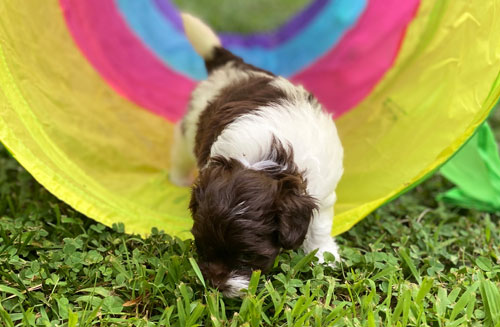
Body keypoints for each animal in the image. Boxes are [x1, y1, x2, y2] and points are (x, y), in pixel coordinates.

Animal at [169, 14, 344, 298]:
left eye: (247, 256)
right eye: (202, 245)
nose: (217, 285)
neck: (264, 162)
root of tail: (233, 66)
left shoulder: (323, 189)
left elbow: (319, 224)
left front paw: (324, 255)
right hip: (192, 125)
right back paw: (178, 176)